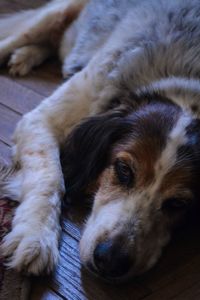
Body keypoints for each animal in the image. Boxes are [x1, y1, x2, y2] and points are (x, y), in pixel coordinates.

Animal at [0, 0, 200, 282]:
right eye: (123, 170)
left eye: (178, 204)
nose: (111, 261)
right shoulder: (40, 119)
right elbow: (50, 177)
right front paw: (35, 237)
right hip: (53, 15)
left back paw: (27, 56)